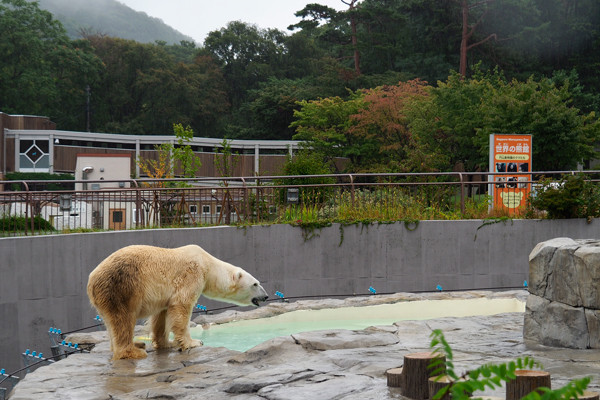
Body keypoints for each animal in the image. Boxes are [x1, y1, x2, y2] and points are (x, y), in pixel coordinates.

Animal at [86, 244, 268, 360]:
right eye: (255, 284)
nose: (266, 296)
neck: (207, 263)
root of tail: (91, 279)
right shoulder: (192, 274)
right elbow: (182, 305)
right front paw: (193, 342)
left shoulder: (164, 295)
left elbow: (161, 315)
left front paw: (166, 343)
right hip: (122, 287)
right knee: (123, 319)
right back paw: (133, 351)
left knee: (112, 322)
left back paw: (137, 344)